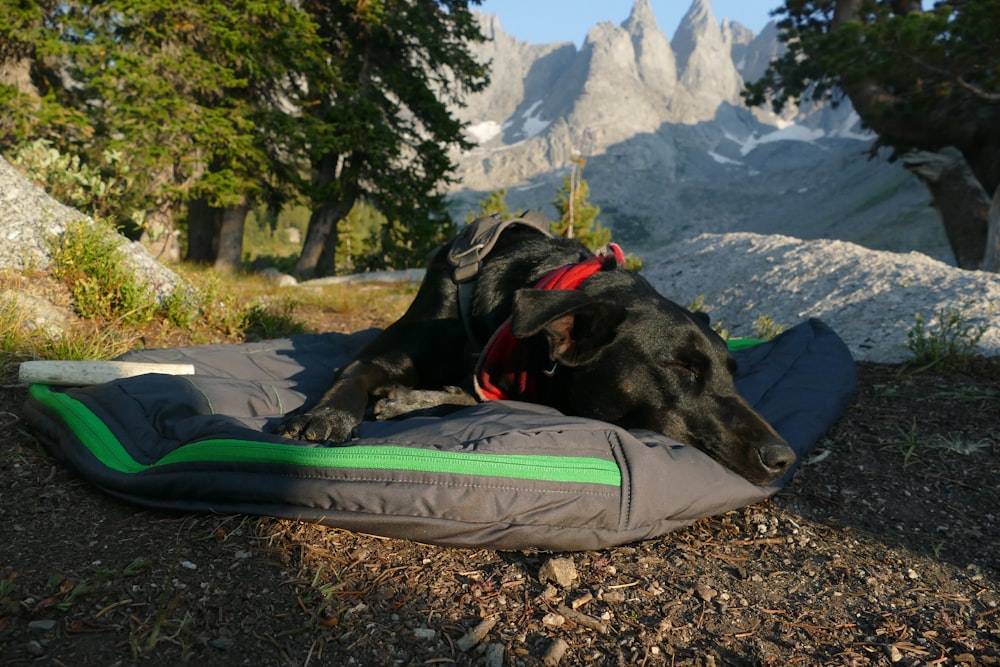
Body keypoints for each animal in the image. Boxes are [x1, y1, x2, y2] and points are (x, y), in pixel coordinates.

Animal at [280, 217, 796, 482]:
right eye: (680, 367)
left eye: (733, 373)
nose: (783, 458)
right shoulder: (385, 354)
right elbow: (355, 373)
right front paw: (326, 415)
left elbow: (469, 397)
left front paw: (417, 399)